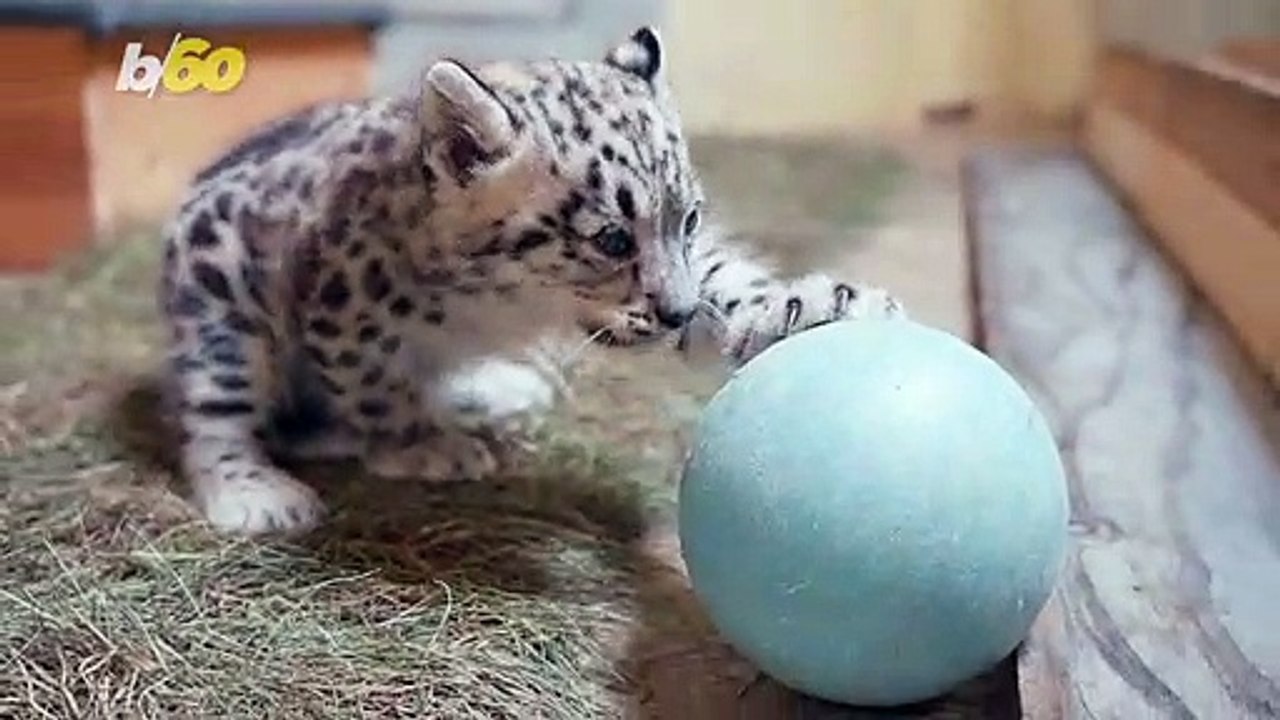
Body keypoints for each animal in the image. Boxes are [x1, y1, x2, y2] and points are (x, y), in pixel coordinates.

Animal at [159, 26, 906, 536]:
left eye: (689, 219)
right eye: (611, 238)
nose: (676, 312)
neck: (504, 306)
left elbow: (725, 278)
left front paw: (813, 305)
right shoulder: (342, 305)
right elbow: (373, 384)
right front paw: (424, 445)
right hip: (221, 317)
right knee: (217, 416)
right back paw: (257, 491)